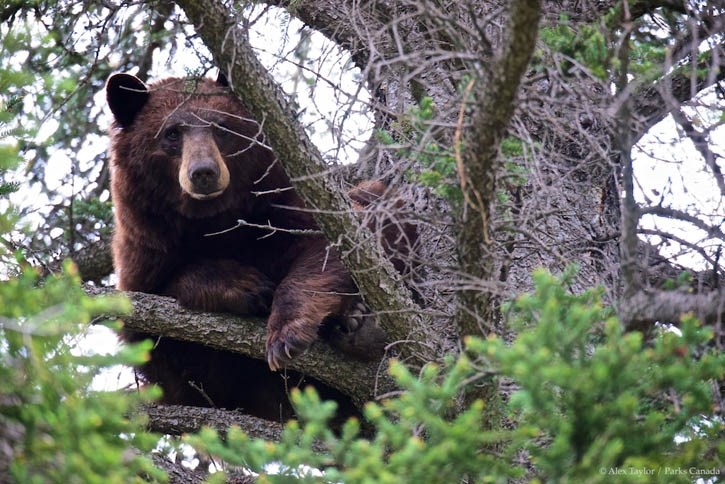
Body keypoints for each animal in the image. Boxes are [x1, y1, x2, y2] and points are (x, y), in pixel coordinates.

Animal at [104, 73, 416, 424]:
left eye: (221, 127)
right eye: (172, 132)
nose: (204, 173)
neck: (214, 223)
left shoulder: (284, 209)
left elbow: (337, 246)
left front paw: (286, 334)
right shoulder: (146, 253)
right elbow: (170, 350)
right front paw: (245, 284)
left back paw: (360, 325)